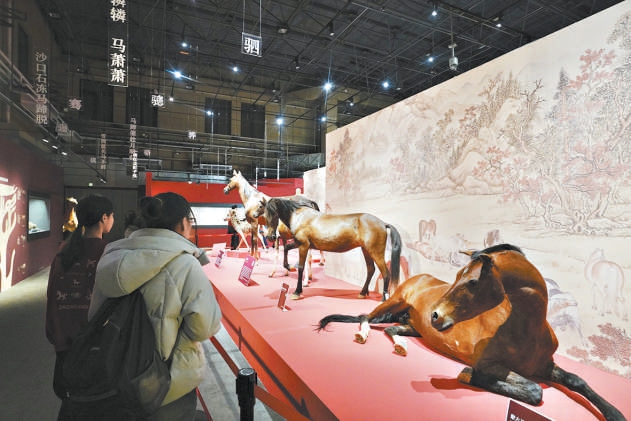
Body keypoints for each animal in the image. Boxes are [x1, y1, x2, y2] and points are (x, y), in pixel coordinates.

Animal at [255, 197, 402, 301]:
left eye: (274, 213)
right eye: (265, 214)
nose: (270, 237)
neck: (299, 216)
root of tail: (383, 223)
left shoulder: (303, 246)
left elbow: (301, 267)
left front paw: (297, 291)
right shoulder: (298, 243)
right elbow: (286, 249)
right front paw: (289, 267)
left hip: (375, 252)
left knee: (386, 273)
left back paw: (383, 299)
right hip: (366, 250)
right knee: (371, 270)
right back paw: (362, 293)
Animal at [317, 244, 625, 421]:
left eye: (473, 281)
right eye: (456, 276)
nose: (435, 315)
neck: (527, 330)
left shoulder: (545, 365)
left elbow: (577, 381)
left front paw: (615, 413)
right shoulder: (489, 363)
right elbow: (534, 389)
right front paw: (468, 375)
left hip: (411, 326)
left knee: (392, 329)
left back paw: (400, 346)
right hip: (391, 302)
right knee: (365, 318)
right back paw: (362, 335)